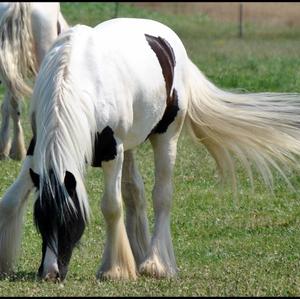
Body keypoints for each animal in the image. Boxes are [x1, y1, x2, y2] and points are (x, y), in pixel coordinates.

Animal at [1, 17, 300, 282]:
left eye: (71, 219)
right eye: (40, 220)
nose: (51, 274)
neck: (77, 76)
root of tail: (170, 41)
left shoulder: (112, 150)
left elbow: (111, 206)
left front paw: (115, 270)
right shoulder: (37, 147)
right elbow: (12, 199)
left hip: (166, 138)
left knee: (161, 196)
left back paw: (156, 264)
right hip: (131, 146)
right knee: (135, 193)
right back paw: (140, 253)